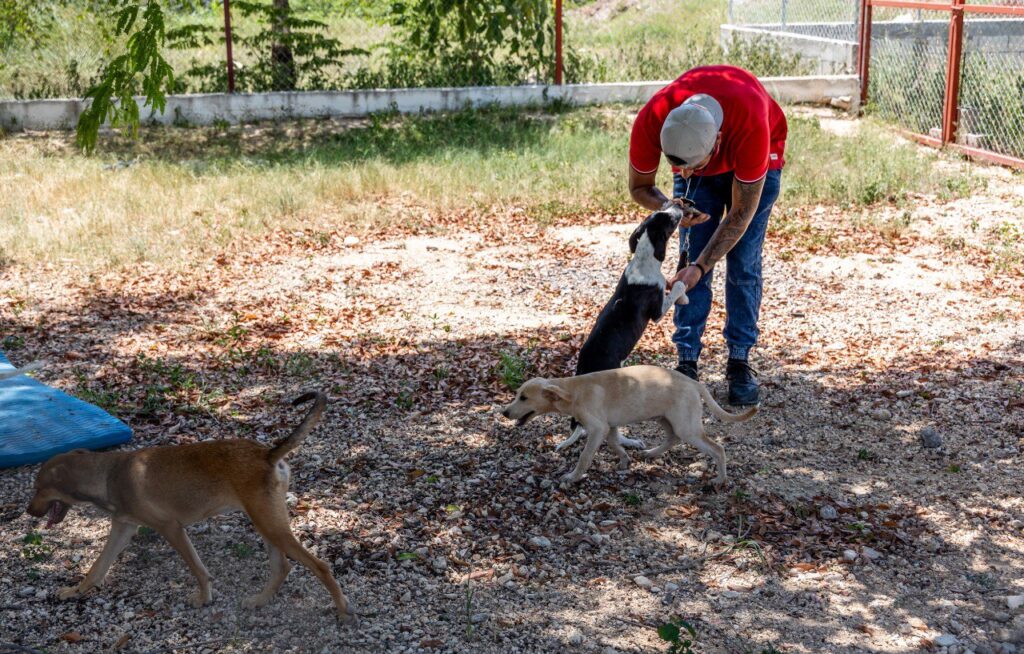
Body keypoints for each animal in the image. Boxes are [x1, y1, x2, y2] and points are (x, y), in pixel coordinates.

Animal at [25, 388, 354, 622]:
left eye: (39, 488)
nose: (28, 512)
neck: (106, 475)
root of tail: (268, 454)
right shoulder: (123, 529)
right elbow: (96, 568)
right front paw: (74, 592)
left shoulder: (172, 529)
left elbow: (197, 569)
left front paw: (203, 598)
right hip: (266, 523)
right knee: (282, 567)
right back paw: (260, 600)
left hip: (270, 525)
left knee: (320, 566)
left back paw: (341, 609)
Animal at [499, 368, 757, 487]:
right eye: (517, 395)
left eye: (523, 398)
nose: (504, 413)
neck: (573, 391)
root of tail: (695, 383)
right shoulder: (610, 427)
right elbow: (615, 444)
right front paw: (624, 462)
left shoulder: (597, 429)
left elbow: (584, 457)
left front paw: (573, 477)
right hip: (666, 418)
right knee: (672, 438)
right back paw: (650, 453)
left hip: (688, 428)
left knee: (717, 449)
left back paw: (720, 479)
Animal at [557, 204, 700, 454]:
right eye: (668, 219)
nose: (677, 205)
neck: (644, 258)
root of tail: (584, 370)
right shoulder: (657, 312)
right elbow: (676, 287)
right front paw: (682, 290)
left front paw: (683, 296)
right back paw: (629, 441)